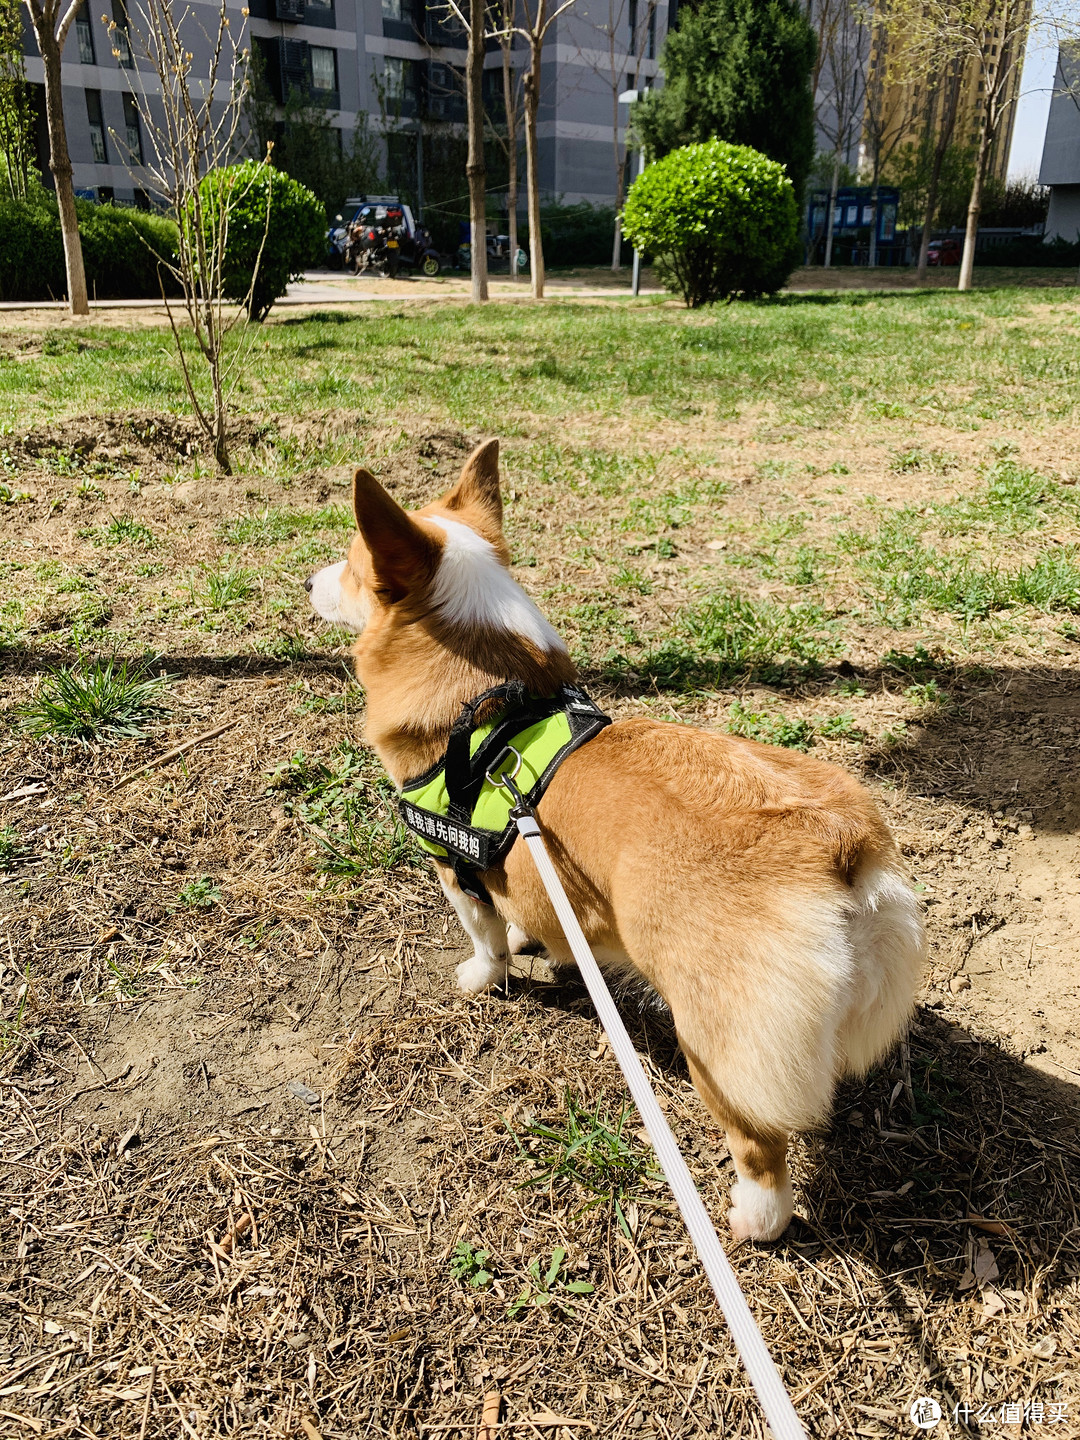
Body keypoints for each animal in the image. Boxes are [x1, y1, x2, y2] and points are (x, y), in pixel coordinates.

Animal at [308, 434, 927, 1238]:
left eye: (353, 567)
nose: (308, 581)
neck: (487, 697)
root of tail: (836, 841)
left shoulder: (451, 869)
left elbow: (483, 935)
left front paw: (481, 977)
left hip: (716, 1047)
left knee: (760, 1148)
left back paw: (752, 1220)